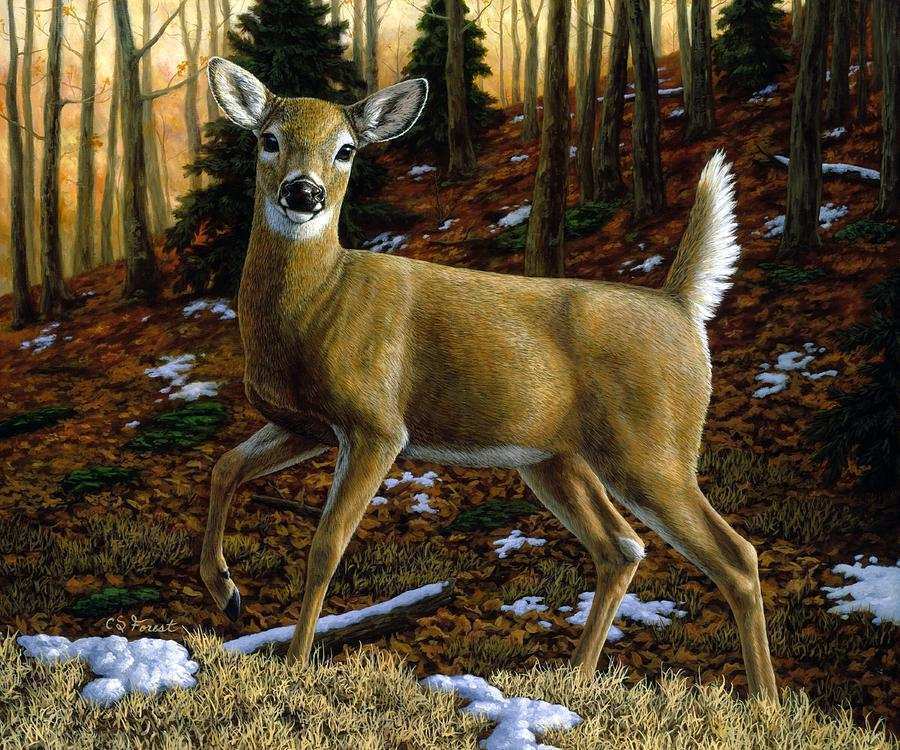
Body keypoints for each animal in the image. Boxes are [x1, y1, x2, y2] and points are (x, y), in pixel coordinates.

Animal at [200, 56, 779, 702]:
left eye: (346, 149)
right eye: (269, 140)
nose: (304, 192)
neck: (318, 303)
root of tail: (682, 306)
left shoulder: (376, 424)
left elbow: (326, 546)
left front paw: (296, 665)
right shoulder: (305, 425)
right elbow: (224, 467)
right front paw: (226, 593)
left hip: (652, 447)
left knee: (737, 555)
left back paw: (766, 705)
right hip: (554, 459)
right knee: (622, 546)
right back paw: (572, 681)